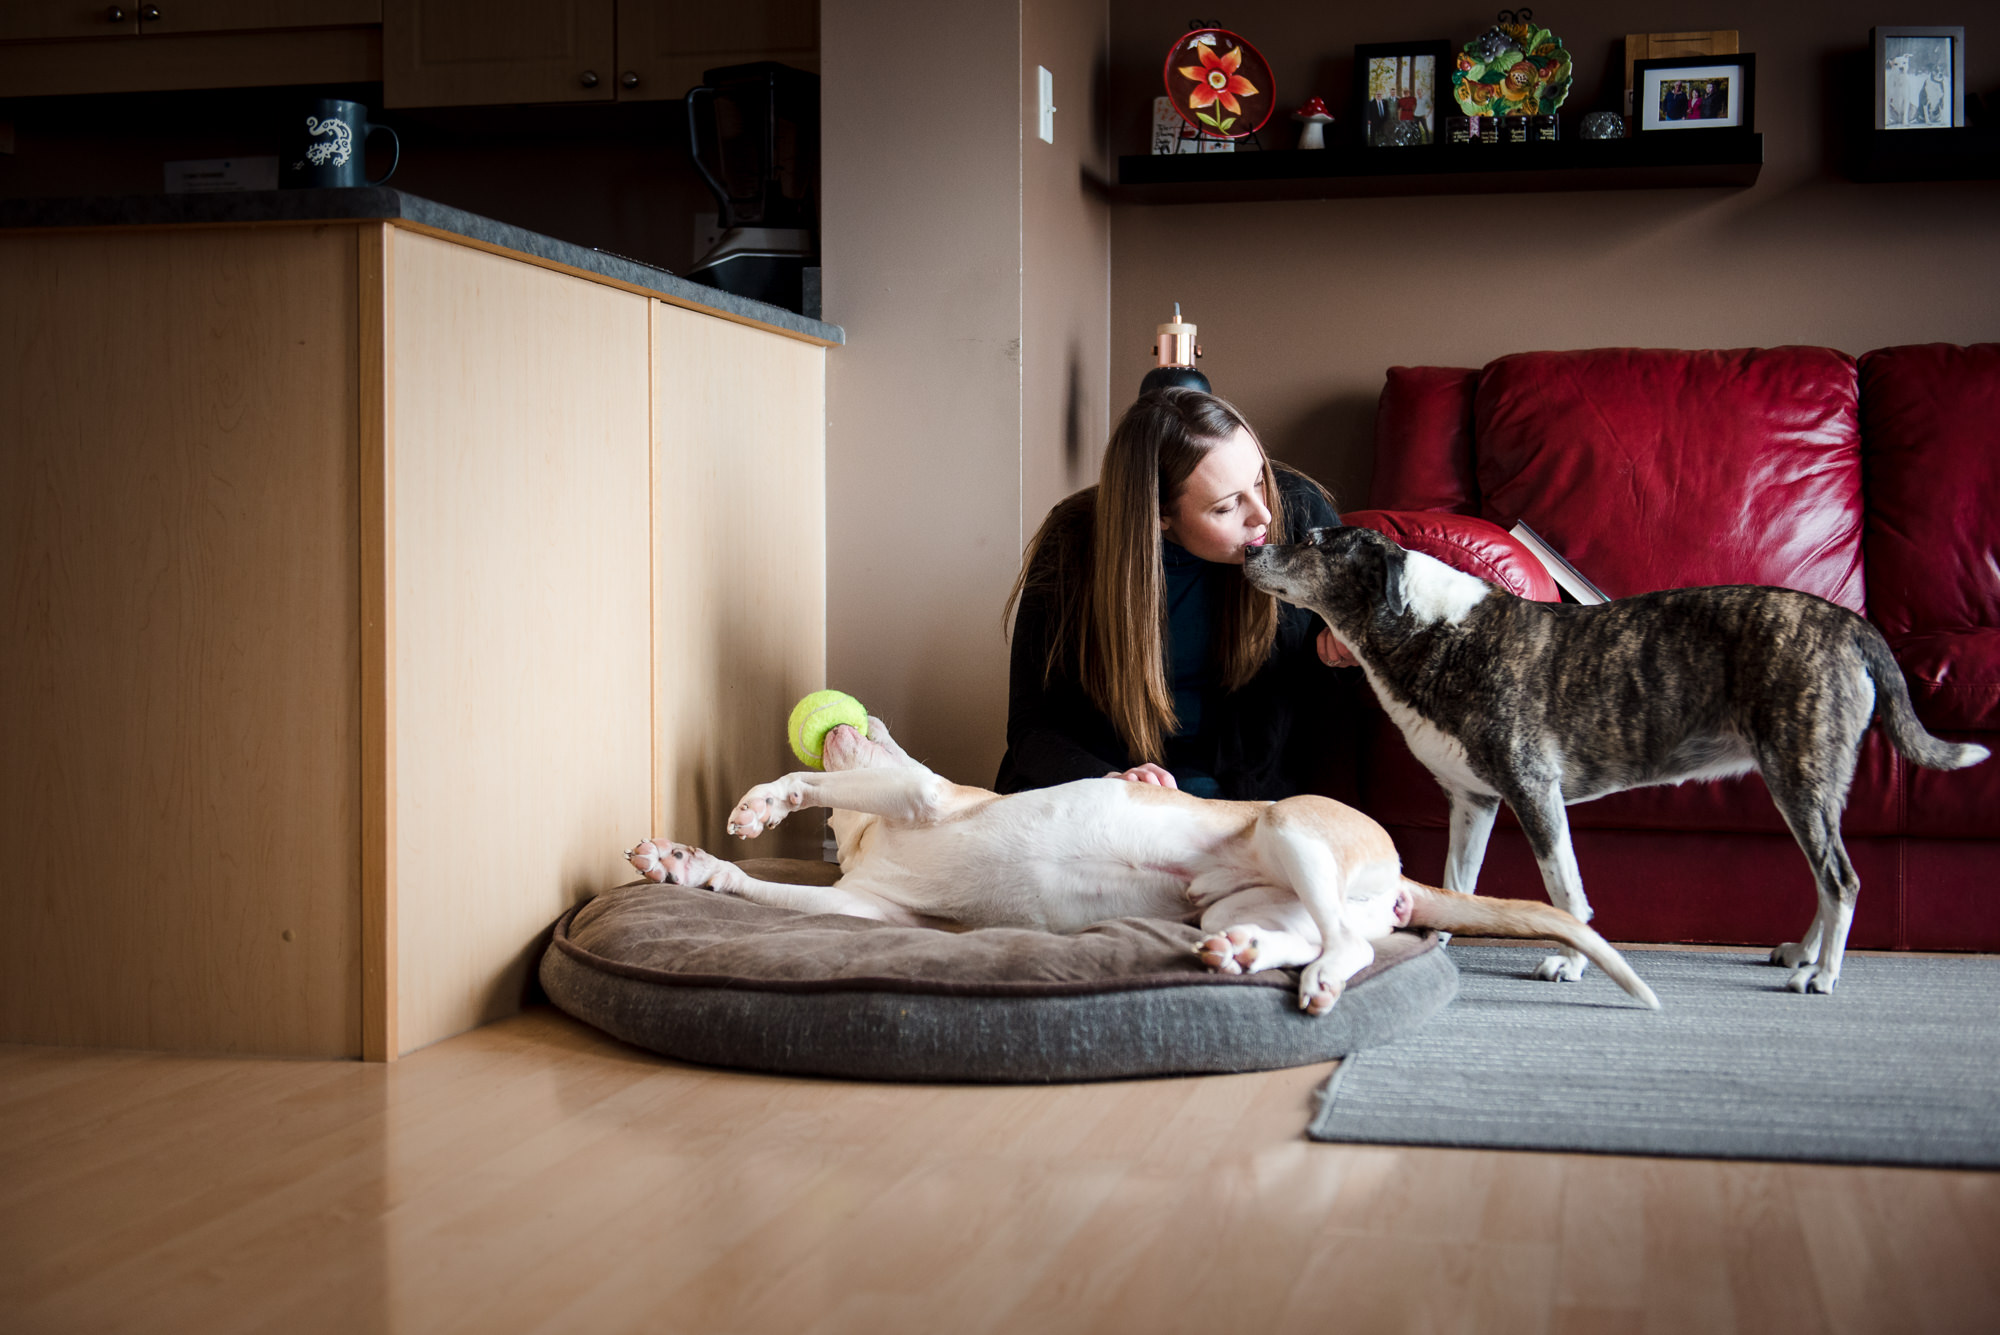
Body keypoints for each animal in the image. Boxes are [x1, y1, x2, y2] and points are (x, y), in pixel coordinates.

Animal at [624, 719, 1656, 1011]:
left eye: (877, 725)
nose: (843, 717)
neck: (874, 835)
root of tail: (1404, 877)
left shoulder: (919, 794)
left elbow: (814, 783)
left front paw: (764, 802)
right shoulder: (872, 915)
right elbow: (774, 891)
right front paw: (687, 867)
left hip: (1294, 828)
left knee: (1351, 948)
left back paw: (1318, 975)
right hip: (1248, 895)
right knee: (1312, 934)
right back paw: (1248, 954)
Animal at [1240, 527, 1992, 995]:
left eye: (1312, 542)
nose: (1249, 549)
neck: (1429, 624)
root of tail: (1849, 623)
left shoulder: (1533, 791)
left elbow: (1567, 892)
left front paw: (1569, 964)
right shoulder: (1474, 803)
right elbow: (1458, 880)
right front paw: (1432, 937)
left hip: (1799, 772)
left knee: (1842, 877)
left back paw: (1821, 974)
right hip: (1801, 782)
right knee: (1826, 873)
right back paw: (1805, 952)